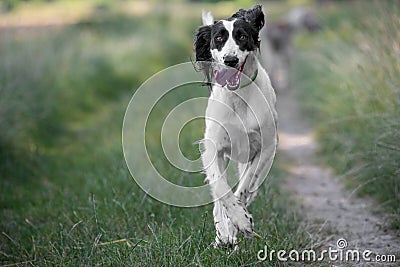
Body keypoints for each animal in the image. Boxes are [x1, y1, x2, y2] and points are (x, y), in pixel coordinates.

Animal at [194, 4, 278, 249]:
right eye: (218, 38)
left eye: (242, 36)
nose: (230, 60)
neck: (239, 98)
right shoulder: (212, 149)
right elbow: (221, 189)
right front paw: (233, 223)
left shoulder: (265, 148)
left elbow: (245, 185)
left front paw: (240, 221)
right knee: (217, 199)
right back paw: (222, 234)